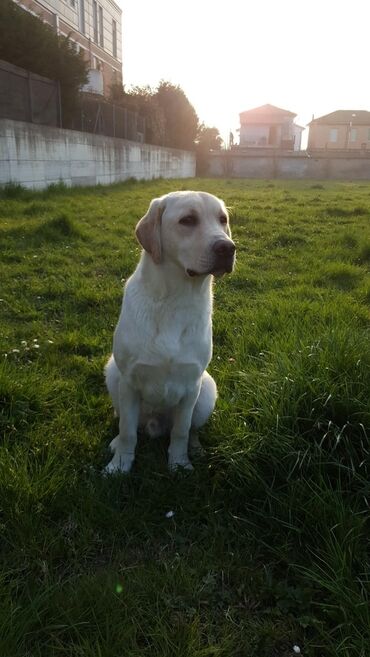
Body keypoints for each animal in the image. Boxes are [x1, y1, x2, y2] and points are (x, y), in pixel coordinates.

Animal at [104, 190, 236, 472]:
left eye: (222, 219)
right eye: (187, 220)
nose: (228, 247)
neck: (173, 300)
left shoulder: (191, 386)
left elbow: (181, 431)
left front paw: (179, 463)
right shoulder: (129, 382)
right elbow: (128, 431)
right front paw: (119, 465)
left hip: (207, 389)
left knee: (192, 430)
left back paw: (195, 449)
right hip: (112, 373)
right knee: (125, 425)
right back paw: (116, 444)